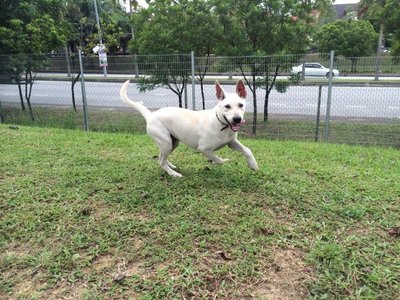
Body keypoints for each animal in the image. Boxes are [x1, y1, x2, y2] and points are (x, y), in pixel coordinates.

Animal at [120, 80, 260, 178]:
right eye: (227, 106)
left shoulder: (231, 142)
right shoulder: (203, 149)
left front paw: (253, 165)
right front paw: (219, 161)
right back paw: (173, 174)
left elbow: (247, 150)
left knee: (161, 157)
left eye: (241, 105)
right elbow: (218, 160)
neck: (221, 124)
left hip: (173, 142)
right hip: (165, 142)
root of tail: (151, 115)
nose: (237, 119)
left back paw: (171, 166)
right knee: (160, 161)